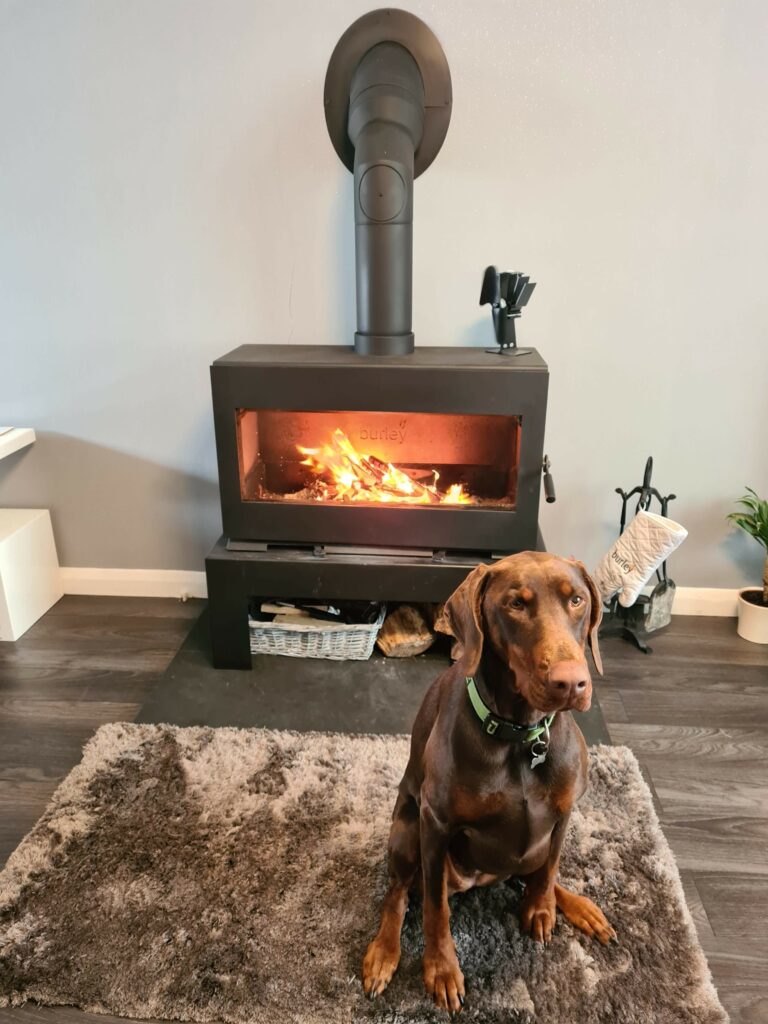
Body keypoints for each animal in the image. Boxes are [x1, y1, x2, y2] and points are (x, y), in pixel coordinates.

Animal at [362, 548, 618, 1011]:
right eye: (515, 604)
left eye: (576, 600)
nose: (572, 682)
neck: (521, 737)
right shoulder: (435, 823)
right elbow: (435, 910)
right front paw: (441, 968)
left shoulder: (564, 812)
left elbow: (549, 870)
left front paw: (541, 910)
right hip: (406, 831)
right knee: (399, 893)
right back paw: (384, 953)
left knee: (534, 872)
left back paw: (577, 907)